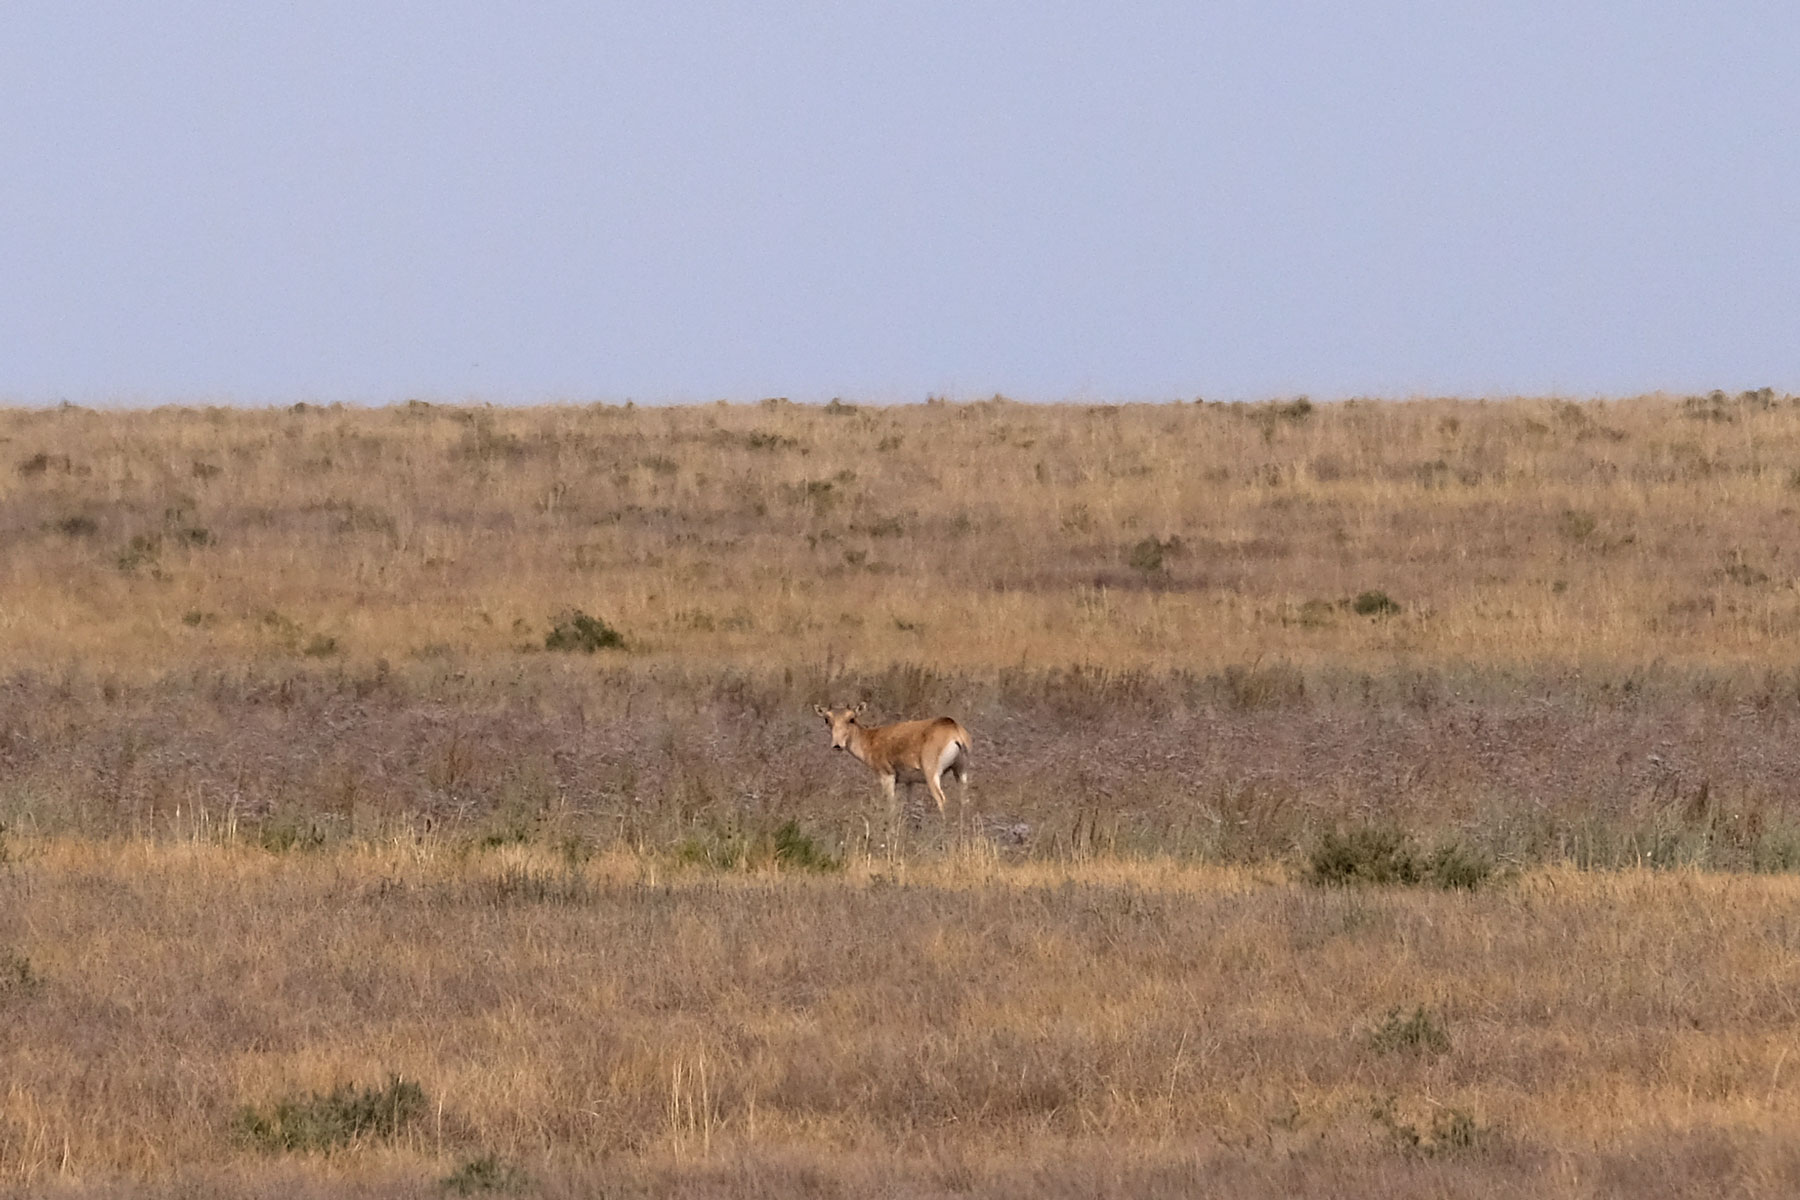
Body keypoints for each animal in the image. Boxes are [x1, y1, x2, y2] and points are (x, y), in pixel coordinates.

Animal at [817, 705, 972, 816]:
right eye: (827, 719)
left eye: (851, 718)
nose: (837, 745)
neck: (871, 739)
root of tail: (953, 728)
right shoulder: (909, 782)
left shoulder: (887, 777)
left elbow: (890, 805)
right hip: (961, 772)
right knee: (963, 799)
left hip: (932, 775)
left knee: (941, 800)